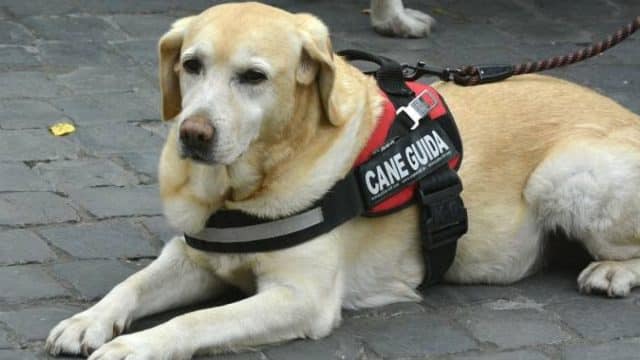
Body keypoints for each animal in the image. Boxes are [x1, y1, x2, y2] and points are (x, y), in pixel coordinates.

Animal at [47, 1, 640, 358]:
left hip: (564, 173)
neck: (246, 187)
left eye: (254, 77)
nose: (192, 134)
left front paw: (135, 346)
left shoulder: (300, 298)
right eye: (191, 65)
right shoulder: (191, 256)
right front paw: (89, 321)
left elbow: (197, 322)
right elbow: (129, 285)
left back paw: (611, 271)